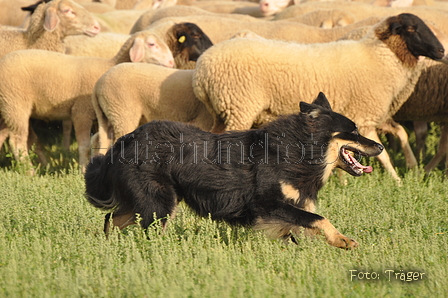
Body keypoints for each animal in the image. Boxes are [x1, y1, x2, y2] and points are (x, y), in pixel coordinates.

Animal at [0, 29, 175, 172]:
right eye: (152, 44)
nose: (172, 63)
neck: (110, 65)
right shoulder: (81, 111)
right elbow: (84, 145)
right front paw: (83, 169)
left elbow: (100, 141)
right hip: (16, 104)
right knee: (17, 141)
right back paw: (29, 171)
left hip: (7, 106)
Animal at [84, 92, 382, 249]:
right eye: (354, 131)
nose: (379, 146)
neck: (297, 150)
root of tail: (128, 139)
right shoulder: (268, 204)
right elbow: (319, 219)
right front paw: (344, 241)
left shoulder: (290, 206)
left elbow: (304, 227)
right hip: (160, 203)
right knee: (140, 227)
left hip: (151, 202)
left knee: (111, 219)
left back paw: (108, 247)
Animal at [192, 13, 444, 182]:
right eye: (411, 29)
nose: (441, 51)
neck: (381, 57)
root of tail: (201, 70)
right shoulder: (364, 117)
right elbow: (383, 155)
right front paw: (399, 181)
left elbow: (392, 138)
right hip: (239, 107)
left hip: (223, 112)